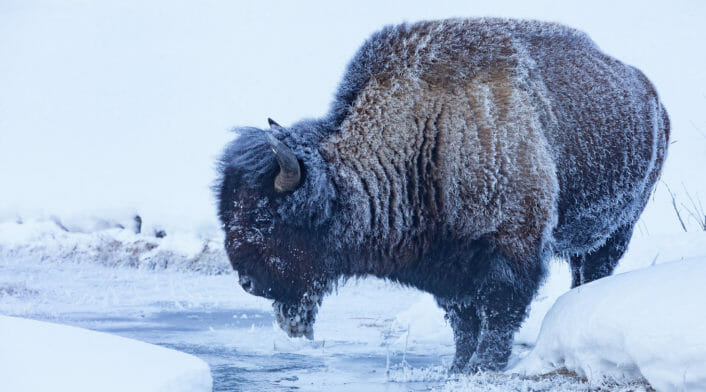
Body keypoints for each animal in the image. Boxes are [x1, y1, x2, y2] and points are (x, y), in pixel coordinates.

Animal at [214, 18, 664, 372]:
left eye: (264, 217)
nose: (247, 282)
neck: (428, 132)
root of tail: (651, 95)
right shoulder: (447, 268)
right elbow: (464, 322)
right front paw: (458, 365)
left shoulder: (511, 253)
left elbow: (498, 317)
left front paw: (482, 367)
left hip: (618, 229)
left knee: (592, 270)